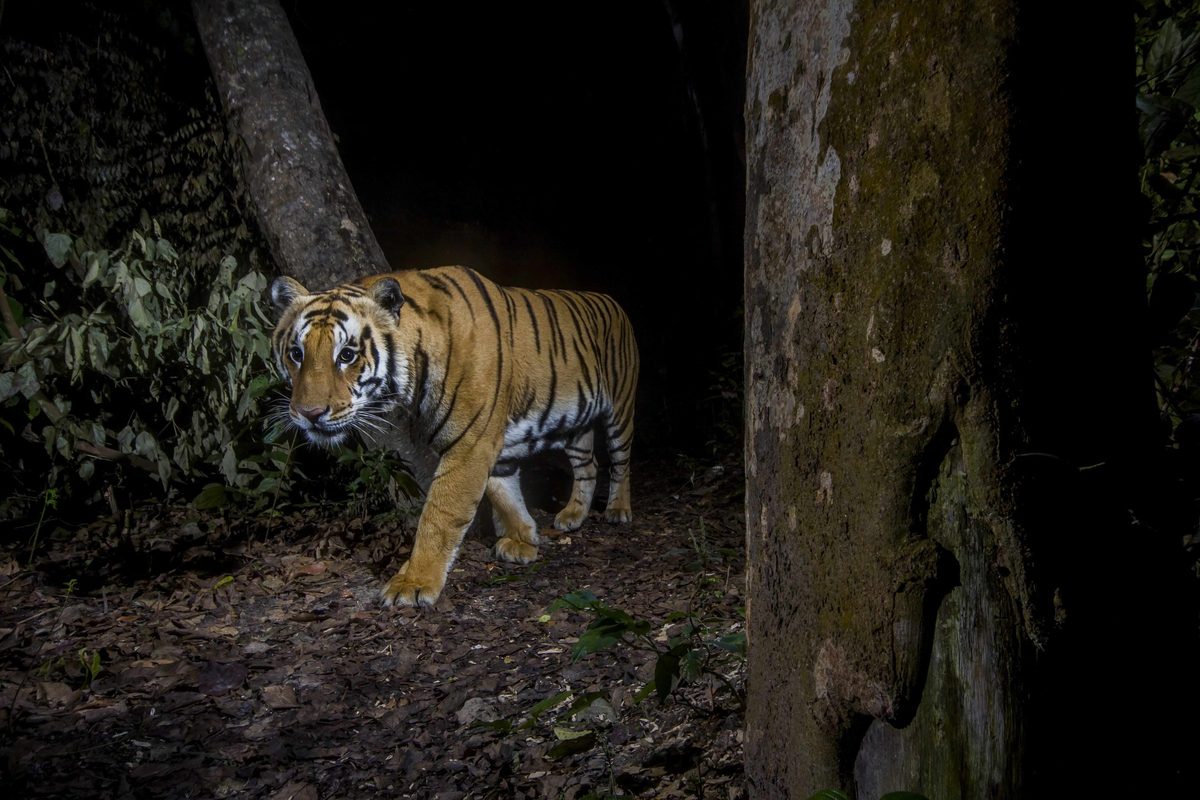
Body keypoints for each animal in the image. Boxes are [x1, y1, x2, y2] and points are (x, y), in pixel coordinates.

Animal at [269, 265, 639, 607]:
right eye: (296, 354)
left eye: (346, 355)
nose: (309, 413)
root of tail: (612, 301)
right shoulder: (491, 445)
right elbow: (504, 492)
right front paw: (523, 539)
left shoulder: (470, 444)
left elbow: (441, 514)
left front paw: (414, 584)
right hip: (575, 425)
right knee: (588, 467)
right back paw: (572, 516)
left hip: (620, 407)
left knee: (621, 462)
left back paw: (618, 511)